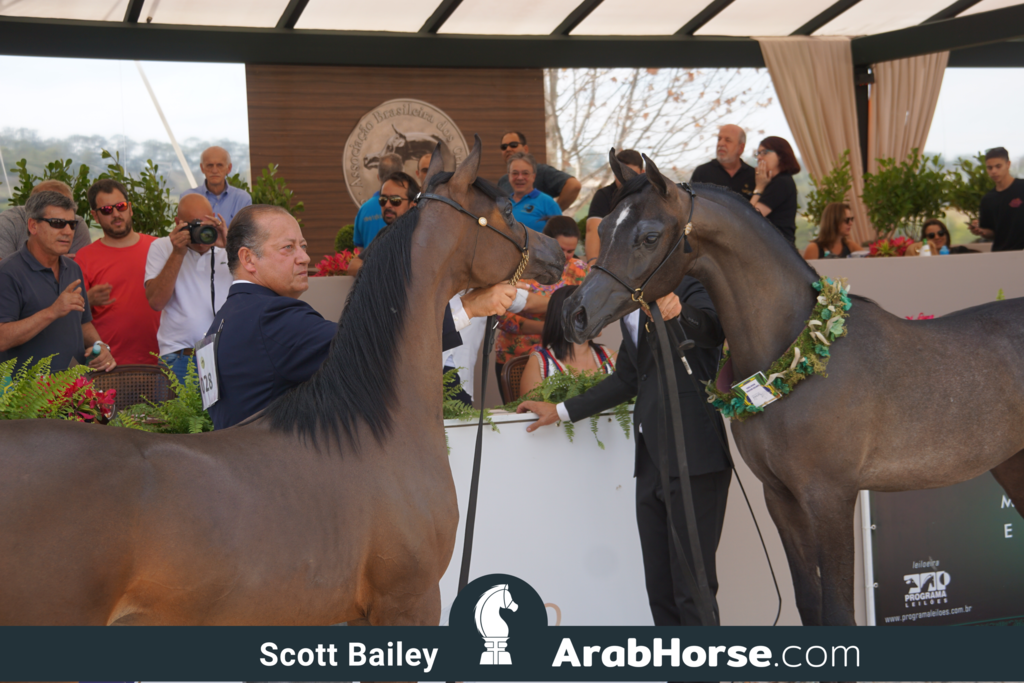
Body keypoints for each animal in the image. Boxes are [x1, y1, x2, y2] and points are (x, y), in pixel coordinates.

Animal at [562, 150, 1024, 626]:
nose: (575, 314)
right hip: (1012, 464)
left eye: (649, 236)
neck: (800, 356)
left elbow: (838, 612)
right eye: (602, 228)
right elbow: (809, 604)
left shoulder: (831, 498)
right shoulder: (779, 497)